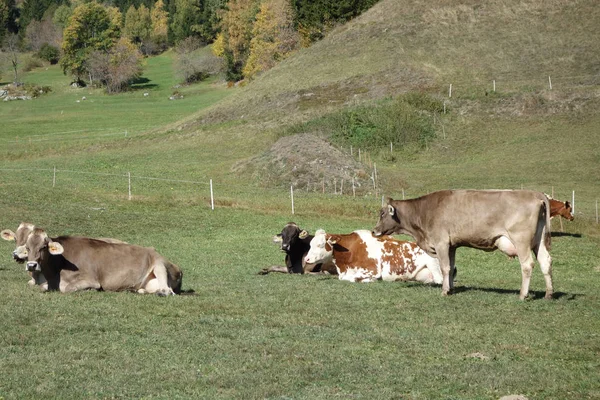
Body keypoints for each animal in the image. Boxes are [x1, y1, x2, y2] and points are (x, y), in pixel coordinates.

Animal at [23, 227, 182, 296]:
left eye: (43, 247)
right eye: (27, 247)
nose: (31, 265)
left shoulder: (90, 280)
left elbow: (67, 288)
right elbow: (41, 287)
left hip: (159, 264)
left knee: (167, 291)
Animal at [302, 228, 442, 284]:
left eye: (320, 245)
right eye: (310, 244)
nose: (307, 259)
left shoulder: (372, 270)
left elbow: (351, 278)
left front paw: (369, 280)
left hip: (433, 264)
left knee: (439, 280)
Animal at [370, 191, 552, 300]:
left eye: (383, 213)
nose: (373, 231)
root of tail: (533, 193)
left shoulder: (441, 242)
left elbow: (444, 267)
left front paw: (445, 291)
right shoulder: (452, 245)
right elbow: (451, 267)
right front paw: (451, 288)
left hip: (521, 240)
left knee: (527, 264)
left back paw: (522, 295)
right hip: (539, 241)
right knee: (546, 261)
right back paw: (549, 293)